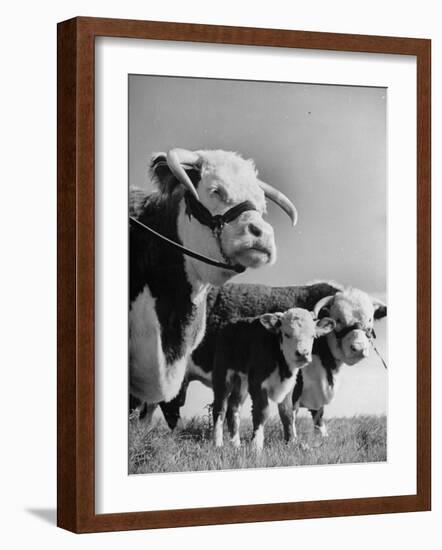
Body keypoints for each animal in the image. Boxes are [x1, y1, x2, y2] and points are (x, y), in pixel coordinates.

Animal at [212, 310, 334, 452]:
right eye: (287, 334)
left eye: (313, 336)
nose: (303, 354)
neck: (283, 366)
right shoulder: (257, 383)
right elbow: (262, 411)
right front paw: (256, 445)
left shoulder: (289, 386)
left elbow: (287, 413)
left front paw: (291, 442)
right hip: (222, 376)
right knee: (220, 408)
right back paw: (218, 443)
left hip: (242, 381)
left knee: (233, 407)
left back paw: (236, 444)